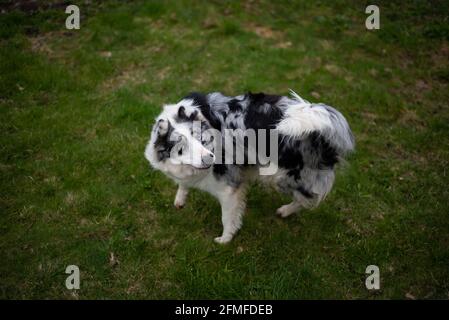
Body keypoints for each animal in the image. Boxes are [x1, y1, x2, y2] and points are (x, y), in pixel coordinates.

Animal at [144, 89, 354, 244]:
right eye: (181, 149)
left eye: (202, 139)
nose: (209, 159)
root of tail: (324, 131)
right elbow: (183, 182)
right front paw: (180, 198)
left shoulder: (229, 187)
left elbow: (228, 217)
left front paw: (225, 239)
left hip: (284, 177)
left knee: (307, 199)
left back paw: (285, 210)